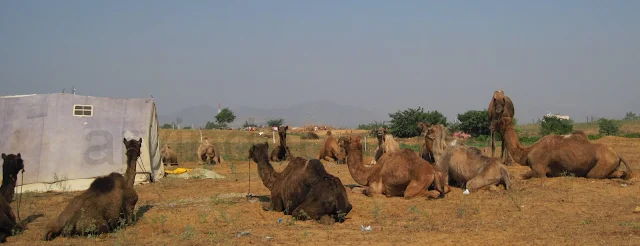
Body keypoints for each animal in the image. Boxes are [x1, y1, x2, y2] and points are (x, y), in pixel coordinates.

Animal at [492, 116, 632, 180]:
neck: (527, 152)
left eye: (499, 121)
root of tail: (617, 155)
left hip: (603, 163)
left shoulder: (539, 168)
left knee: (594, 174)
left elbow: (523, 175)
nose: (491, 125)